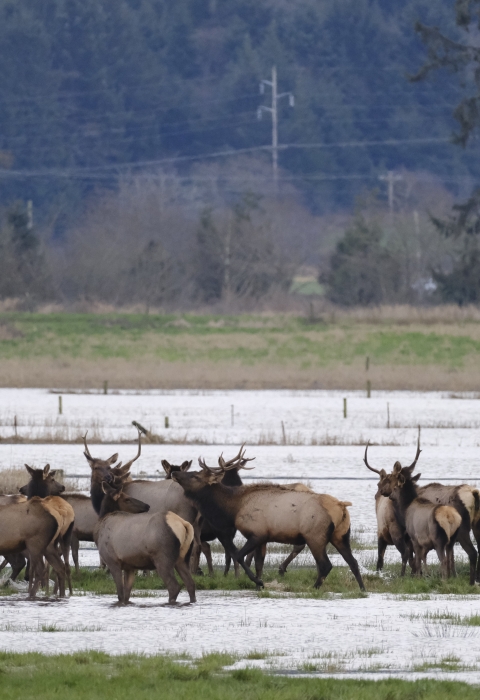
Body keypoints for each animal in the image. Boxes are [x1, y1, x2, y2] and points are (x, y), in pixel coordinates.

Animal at [171, 449, 365, 591]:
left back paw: (314, 587)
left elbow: (239, 556)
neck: (233, 509)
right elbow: (259, 563)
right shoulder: (264, 537)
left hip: (315, 535)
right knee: (353, 562)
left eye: (195, 476)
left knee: (326, 565)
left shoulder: (257, 533)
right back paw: (362, 588)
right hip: (341, 535)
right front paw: (258, 583)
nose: (175, 473)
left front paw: (259, 582)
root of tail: (341, 506)